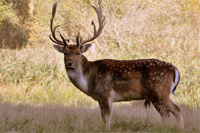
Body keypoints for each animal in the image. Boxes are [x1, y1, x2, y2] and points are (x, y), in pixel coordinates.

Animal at [49, 1, 184, 130]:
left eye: (78, 53)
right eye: (65, 53)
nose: (69, 62)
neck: (88, 81)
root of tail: (176, 70)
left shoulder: (106, 94)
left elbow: (106, 119)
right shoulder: (100, 98)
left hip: (160, 91)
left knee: (177, 110)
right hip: (156, 96)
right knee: (166, 115)